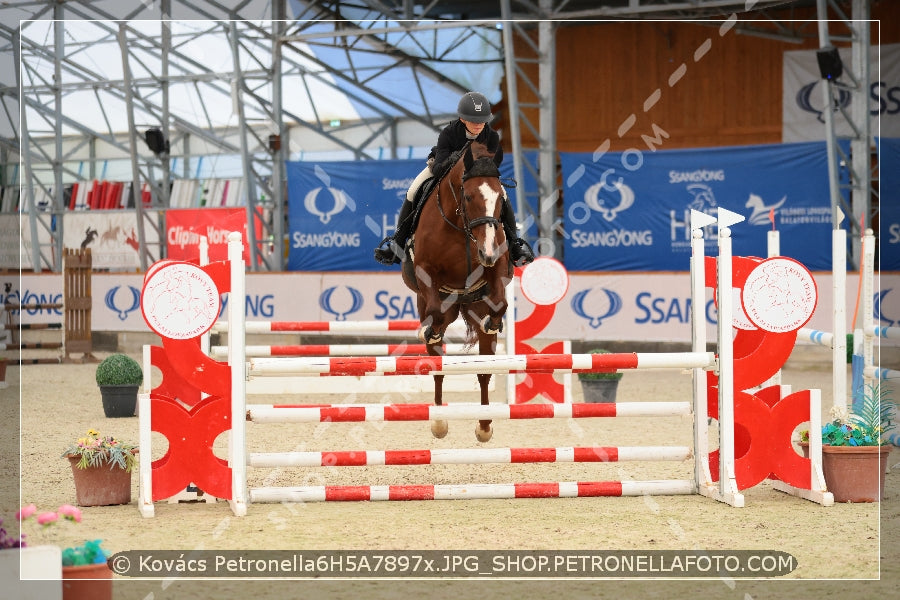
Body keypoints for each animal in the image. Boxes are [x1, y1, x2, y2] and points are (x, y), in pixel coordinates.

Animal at [400, 141, 512, 440]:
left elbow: (501, 303)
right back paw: (439, 422)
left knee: (485, 371)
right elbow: (435, 312)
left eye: (500, 198)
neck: (462, 228)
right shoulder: (426, 271)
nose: (486, 253)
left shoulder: (497, 265)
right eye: (469, 196)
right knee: (437, 366)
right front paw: (430, 330)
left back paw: (484, 426)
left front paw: (493, 322)